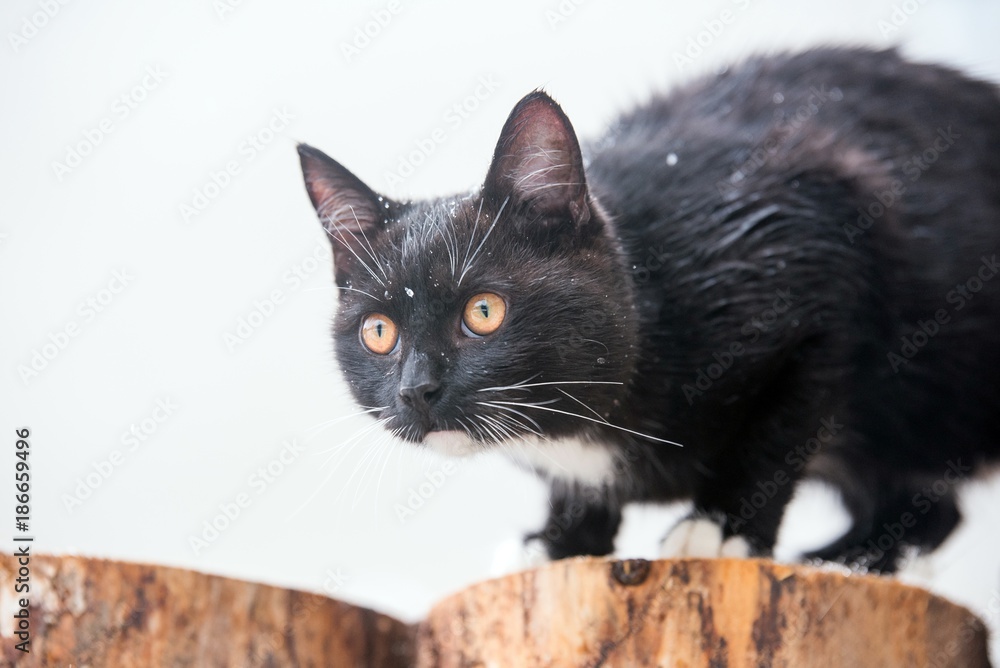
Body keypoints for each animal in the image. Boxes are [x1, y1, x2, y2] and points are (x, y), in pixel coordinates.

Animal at [298, 47, 1000, 572]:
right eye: (379, 331)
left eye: (484, 311)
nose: (417, 390)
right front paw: (561, 542)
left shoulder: (819, 242)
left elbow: (782, 423)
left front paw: (722, 528)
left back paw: (851, 558)